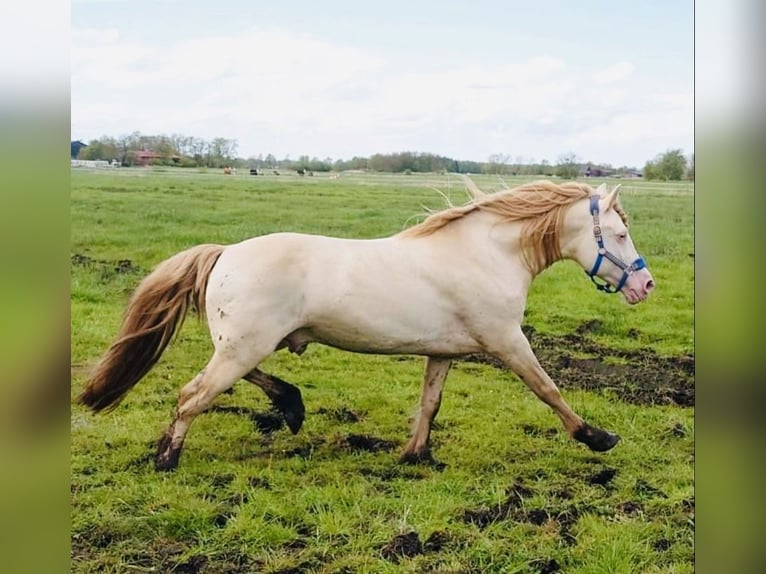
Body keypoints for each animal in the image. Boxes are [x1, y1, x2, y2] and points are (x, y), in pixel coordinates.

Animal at [76, 179, 656, 472]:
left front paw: (415, 455)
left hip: (248, 344)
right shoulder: (506, 341)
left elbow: (430, 402)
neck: (486, 254)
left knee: (232, 382)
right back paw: (166, 459)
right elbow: (549, 390)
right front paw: (597, 437)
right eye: (620, 234)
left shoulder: (444, 351)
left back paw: (291, 405)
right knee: (192, 394)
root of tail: (224, 253)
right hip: (242, 347)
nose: (645, 286)